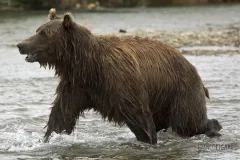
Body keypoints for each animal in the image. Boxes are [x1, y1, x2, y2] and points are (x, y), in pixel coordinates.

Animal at [17, 8, 221, 144]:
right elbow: (61, 114)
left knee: (189, 122)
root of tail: (191, 66)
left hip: (180, 90)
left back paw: (213, 126)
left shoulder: (119, 80)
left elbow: (139, 116)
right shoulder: (77, 86)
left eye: (44, 33)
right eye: (37, 30)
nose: (20, 44)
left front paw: (148, 139)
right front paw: (48, 137)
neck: (86, 65)